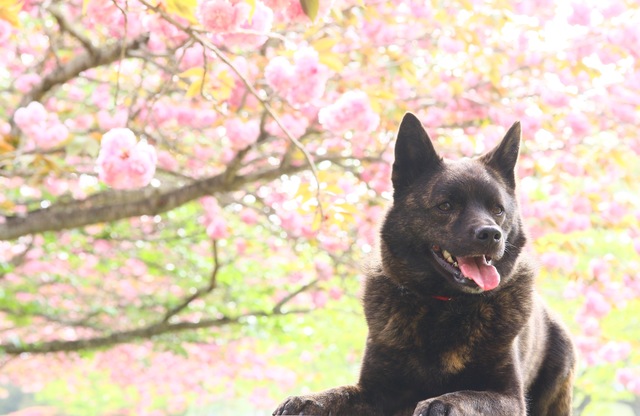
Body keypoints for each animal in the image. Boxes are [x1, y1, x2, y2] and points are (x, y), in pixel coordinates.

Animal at [272, 112, 576, 414]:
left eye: (497, 209)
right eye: (445, 206)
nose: (491, 234)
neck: (443, 304)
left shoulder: (509, 397)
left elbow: (468, 395)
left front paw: (441, 401)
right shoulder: (374, 391)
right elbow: (338, 393)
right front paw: (308, 399)